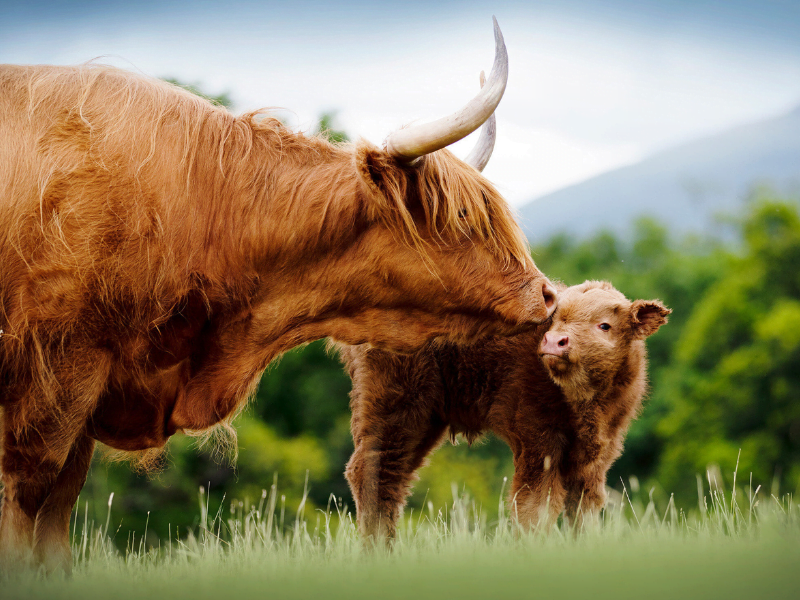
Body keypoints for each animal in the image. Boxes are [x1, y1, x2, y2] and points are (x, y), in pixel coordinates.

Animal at [340, 282, 672, 544]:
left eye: (604, 325)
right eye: (554, 320)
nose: (554, 341)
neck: (586, 404)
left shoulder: (597, 456)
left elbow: (583, 509)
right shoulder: (537, 440)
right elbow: (534, 506)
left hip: (422, 418)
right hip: (394, 402)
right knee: (373, 471)